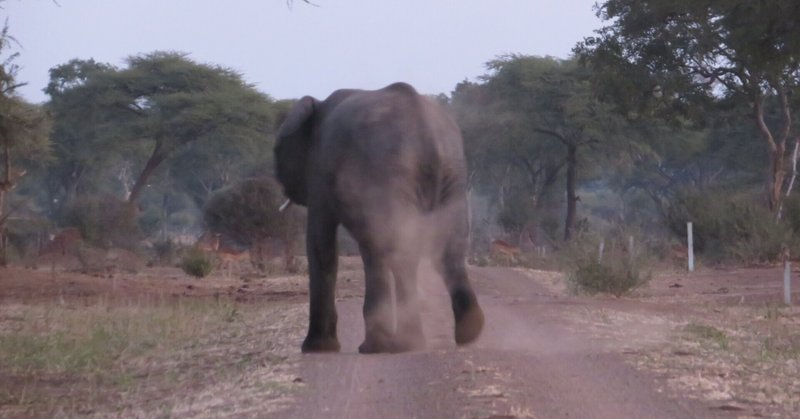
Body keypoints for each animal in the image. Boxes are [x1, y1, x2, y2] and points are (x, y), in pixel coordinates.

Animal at [276, 82, 482, 354]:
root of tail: (425, 129)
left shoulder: (319, 171)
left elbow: (322, 244)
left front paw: (316, 348)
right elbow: (372, 249)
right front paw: (373, 345)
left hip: (393, 170)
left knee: (403, 251)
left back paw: (407, 343)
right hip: (451, 172)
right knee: (448, 249)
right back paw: (469, 333)